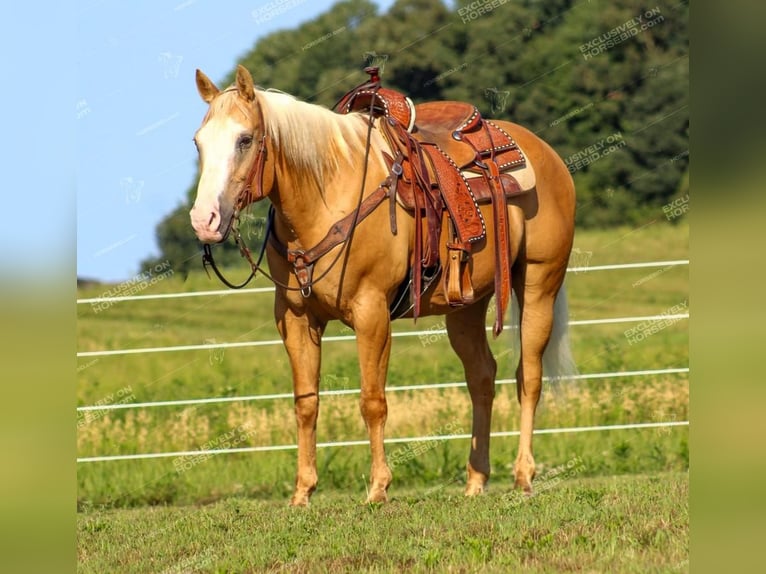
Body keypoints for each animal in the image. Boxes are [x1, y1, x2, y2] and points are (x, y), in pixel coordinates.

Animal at [190, 65, 576, 508]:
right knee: (482, 376)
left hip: (539, 284)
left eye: (245, 139)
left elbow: (373, 401)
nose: (204, 220)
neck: (328, 197)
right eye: (199, 143)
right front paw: (302, 492)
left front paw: (378, 488)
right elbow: (306, 403)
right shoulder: (295, 319)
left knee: (528, 376)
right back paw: (475, 481)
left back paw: (524, 475)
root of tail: (545, 153)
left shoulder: (371, 312)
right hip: (466, 305)